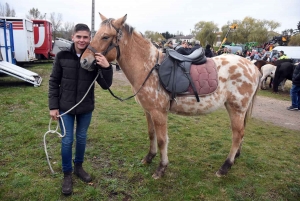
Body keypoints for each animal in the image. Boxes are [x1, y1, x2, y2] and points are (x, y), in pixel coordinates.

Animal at [79, 13, 260, 179]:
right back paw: (235, 157)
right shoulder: (148, 111)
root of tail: (252, 66)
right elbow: (151, 134)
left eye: (105, 36)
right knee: (241, 133)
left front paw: (161, 168)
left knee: (237, 135)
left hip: (236, 108)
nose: (84, 61)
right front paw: (149, 158)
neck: (149, 68)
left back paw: (225, 166)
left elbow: (162, 140)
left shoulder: (159, 113)